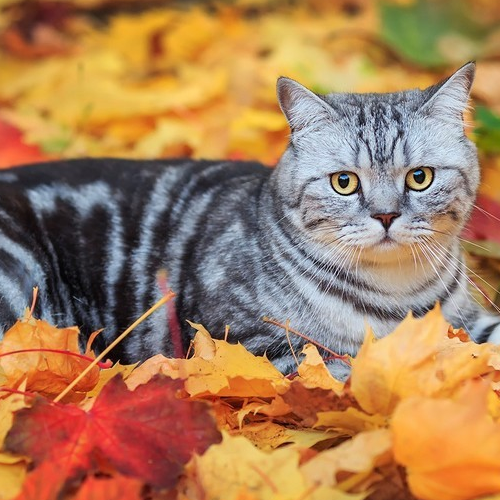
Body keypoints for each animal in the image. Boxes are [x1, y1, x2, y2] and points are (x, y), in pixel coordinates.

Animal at [0, 60, 496, 376]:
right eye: (344, 182)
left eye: (419, 177)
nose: (386, 214)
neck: (398, 297)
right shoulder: (244, 341)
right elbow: (344, 368)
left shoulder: (469, 320)